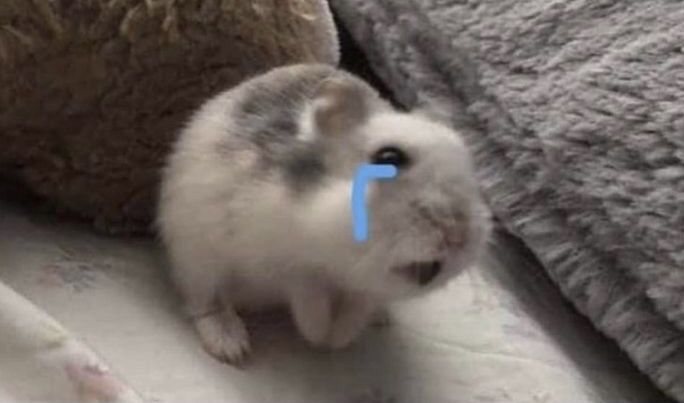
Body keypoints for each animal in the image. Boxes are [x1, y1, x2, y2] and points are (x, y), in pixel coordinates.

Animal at [157, 64, 490, 364]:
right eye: (389, 157)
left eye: (472, 170)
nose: (458, 234)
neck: (340, 259)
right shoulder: (289, 268)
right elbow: (309, 301)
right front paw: (321, 339)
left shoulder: (365, 290)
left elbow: (356, 309)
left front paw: (337, 340)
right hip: (195, 257)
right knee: (205, 302)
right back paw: (231, 348)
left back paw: (380, 320)